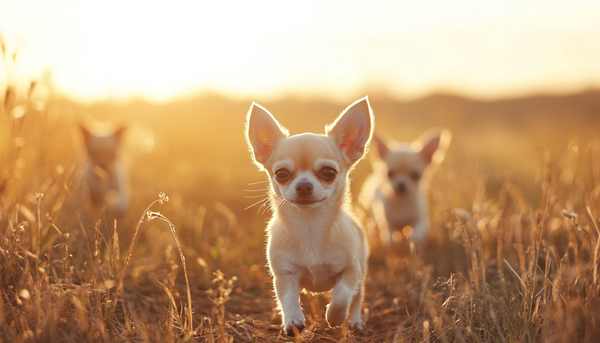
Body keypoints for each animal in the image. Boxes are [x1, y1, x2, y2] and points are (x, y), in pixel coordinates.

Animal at [246, 97, 372, 336]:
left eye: (329, 172)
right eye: (281, 174)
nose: (303, 186)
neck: (310, 226)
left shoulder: (351, 270)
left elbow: (342, 294)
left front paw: (335, 316)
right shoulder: (284, 274)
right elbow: (288, 298)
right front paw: (293, 321)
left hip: (361, 273)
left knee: (357, 299)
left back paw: (355, 322)